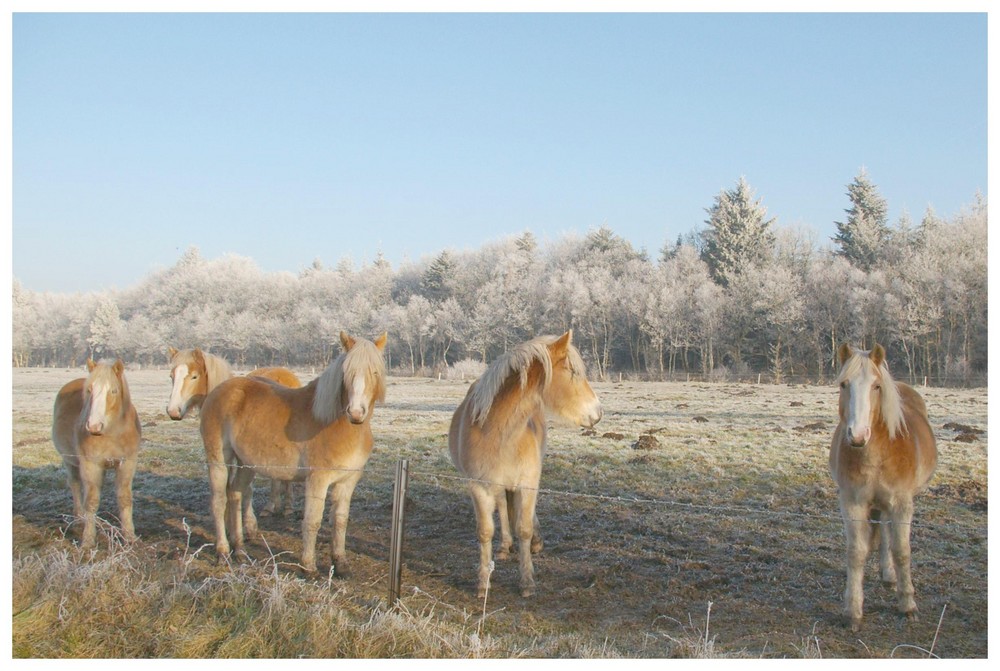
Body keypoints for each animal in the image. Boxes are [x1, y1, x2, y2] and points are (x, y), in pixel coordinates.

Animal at [51, 360, 142, 548]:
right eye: (89, 390)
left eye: (113, 391)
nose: (94, 426)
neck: (113, 432)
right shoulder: (91, 465)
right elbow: (92, 502)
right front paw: (88, 540)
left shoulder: (127, 464)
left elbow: (125, 499)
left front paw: (129, 537)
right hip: (70, 461)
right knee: (75, 485)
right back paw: (79, 518)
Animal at [166, 350, 300, 524]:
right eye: (171, 376)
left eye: (194, 376)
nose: (173, 411)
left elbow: (243, 488)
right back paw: (274, 506)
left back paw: (285, 507)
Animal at [198, 330, 386, 572]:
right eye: (347, 372)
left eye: (375, 371)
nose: (355, 413)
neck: (337, 424)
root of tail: (219, 390)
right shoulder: (317, 480)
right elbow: (313, 521)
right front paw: (309, 567)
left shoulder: (348, 481)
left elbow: (340, 520)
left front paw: (340, 563)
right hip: (218, 460)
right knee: (219, 501)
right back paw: (223, 553)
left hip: (246, 463)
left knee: (235, 494)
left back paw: (239, 550)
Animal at [448, 330, 600, 600]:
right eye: (573, 372)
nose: (598, 413)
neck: (499, 432)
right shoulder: (479, 486)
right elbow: (485, 530)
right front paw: (483, 582)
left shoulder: (528, 482)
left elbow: (525, 528)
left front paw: (527, 581)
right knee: (502, 506)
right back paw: (504, 546)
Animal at [828, 344, 936, 632]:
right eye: (844, 384)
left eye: (876, 386)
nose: (857, 435)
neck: (874, 453)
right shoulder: (852, 503)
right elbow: (856, 552)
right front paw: (853, 611)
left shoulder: (901, 503)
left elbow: (902, 552)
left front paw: (908, 606)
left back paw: (890, 578)